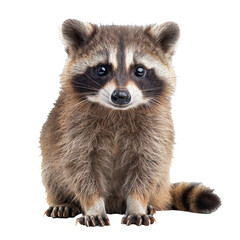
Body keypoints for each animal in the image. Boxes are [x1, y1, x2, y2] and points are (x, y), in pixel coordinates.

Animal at [39, 19, 221, 227]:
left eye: (139, 70)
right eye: (102, 69)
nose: (120, 96)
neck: (118, 111)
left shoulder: (157, 128)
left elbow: (148, 166)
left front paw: (137, 204)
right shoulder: (73, 127)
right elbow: (80, 166)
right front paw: (94, 206)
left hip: (161, 181)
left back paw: (149, 204)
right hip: (50, 159)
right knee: (52, 174)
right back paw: (63, 201)